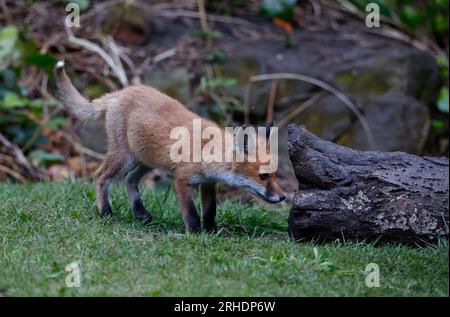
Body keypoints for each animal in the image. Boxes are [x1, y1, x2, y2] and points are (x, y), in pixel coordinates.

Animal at [53, 59, 284, 232]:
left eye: (274, 175)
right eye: (263, 177)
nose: (283, 197)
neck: (207, 150)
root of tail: (122, 92)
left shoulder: (208, 183)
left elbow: (210, 212)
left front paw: (211, 232)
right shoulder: (181, 179)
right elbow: (191, 212)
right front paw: (195, 233)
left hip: (147, 160)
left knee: (130, 180)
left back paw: (140, 213)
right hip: (125, 157)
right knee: (100, 176)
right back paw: (106, 212)